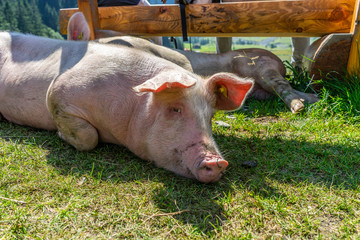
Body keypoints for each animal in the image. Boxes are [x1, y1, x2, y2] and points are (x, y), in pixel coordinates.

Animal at [0, 31, 253, 182]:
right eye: (175, 109)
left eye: (209, 116)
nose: (218, 161)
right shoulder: (57, 92)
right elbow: (89, 138)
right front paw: (61, 135)